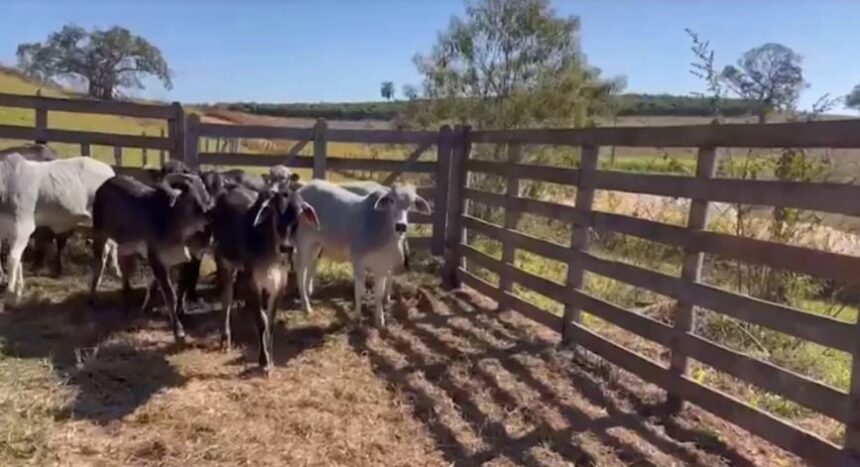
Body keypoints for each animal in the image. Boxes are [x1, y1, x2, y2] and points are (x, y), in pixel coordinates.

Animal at [0, 152, 116, 302]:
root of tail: (109, 170)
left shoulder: (23, 227)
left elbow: (13, 259)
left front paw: (10, 294)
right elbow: (17, 259)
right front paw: (17, 289)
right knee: (107, 247)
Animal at [90, 174, 214, 342]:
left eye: (206, 198)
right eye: (191, 200)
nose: (209, 221)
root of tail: (105, 184)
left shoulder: (174, 263)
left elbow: (163, 288)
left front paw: (147, 307)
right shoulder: (156, 260)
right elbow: (170, 296)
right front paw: (178, 331)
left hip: (125, 247)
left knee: (124, 268)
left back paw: (127, 298)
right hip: (100, 234)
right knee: (99, 263)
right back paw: (93, 298)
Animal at [294, 180, 430, 330]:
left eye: (411, 204)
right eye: (391, 200)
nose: (401, 225)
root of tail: (302, 190)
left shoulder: (382, 268)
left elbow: (379, 295)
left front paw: (380, 320)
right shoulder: (358, 261)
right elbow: (360, 293)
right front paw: (358, 319)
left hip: (316, 244)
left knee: (310, 264)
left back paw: (308, 293)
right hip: (303, 240)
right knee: (300, 269)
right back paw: (306, 306)